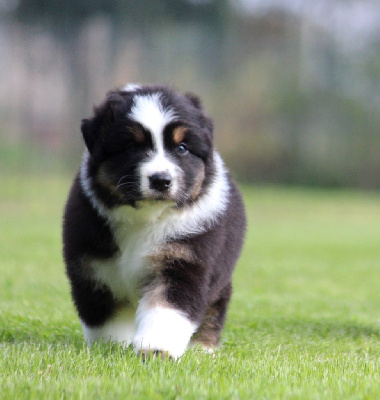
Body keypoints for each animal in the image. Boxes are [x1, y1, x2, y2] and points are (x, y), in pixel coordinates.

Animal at [62, 84, 246, 360]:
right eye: (131, 147)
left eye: (182, 148)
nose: (161, 180)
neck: (145, 218)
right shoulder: (92, 267)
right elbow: (104, 317)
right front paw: (110, 346)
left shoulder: (184, 262)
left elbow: (166, 310)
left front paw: (158, 349)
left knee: (214, 309)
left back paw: (203, 347)